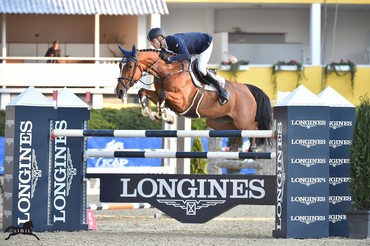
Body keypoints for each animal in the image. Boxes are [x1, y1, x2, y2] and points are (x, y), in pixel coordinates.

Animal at [115, 44, 272, 148]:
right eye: (119, 65)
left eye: (129, 66)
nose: (119, 91)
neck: (168, 71)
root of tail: (247, 88)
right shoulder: (162, 96)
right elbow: (144, 92)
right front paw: (152, 113)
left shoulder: (182, 102)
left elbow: (162, 95)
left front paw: (165, 116)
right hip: (220, 122)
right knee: (241, 131)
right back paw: (235, 148)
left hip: (243, 121)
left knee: (255, 128)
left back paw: (252, 147)